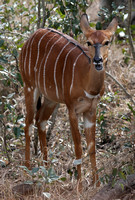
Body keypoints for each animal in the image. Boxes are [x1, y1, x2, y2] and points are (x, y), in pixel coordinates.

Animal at [19, 14, 117, 189]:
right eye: (89, 42)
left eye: (107, 42)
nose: (98, 60)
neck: (87, 83)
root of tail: (31, 38)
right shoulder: (72, 109)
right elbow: (78, 147)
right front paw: (79, 186)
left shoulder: (91, 110)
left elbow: (92, 147)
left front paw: (97, 184)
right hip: (29, 86)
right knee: (28, 124)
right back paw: (28, 170)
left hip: (50, 98)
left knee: (40, 121)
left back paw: (46, 168)